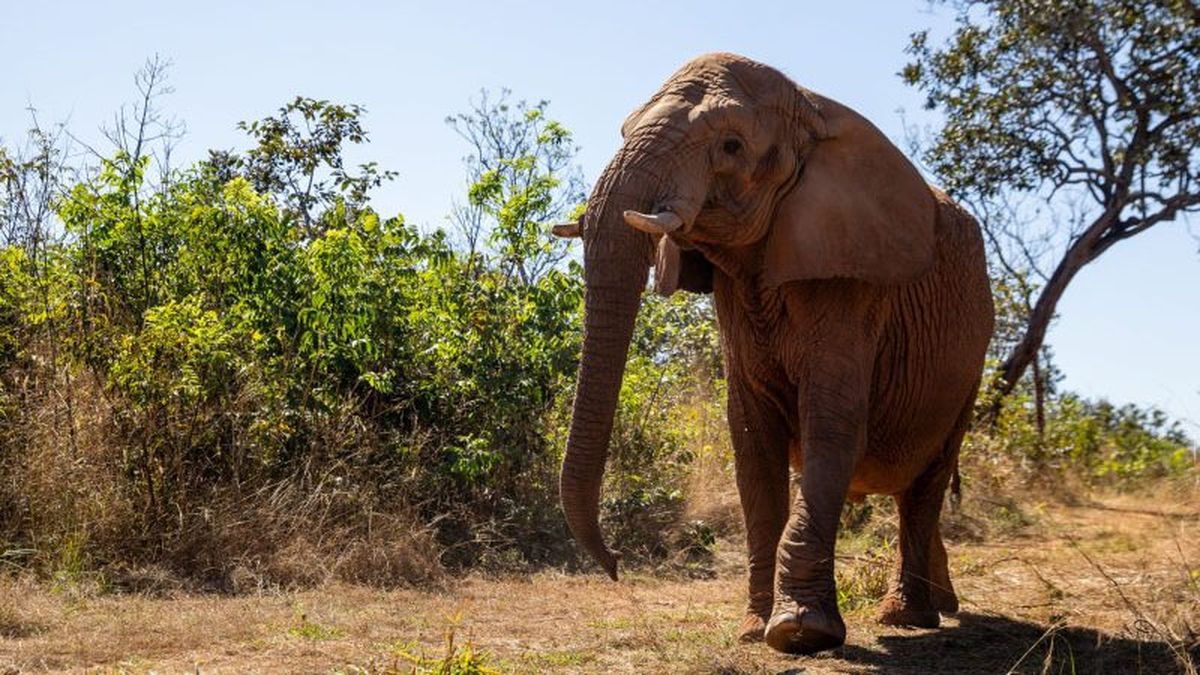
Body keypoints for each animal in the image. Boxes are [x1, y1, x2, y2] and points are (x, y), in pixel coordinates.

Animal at [553, 52, 994, 655]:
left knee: (927, 482)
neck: (812, 109)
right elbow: (749, 436)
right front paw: (752, 629)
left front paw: (800, 633)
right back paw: (939, 607)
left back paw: (908, 617)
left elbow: (833, 425)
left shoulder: (852, 280)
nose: (616, 564)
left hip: (971, 362)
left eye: (732, 145)